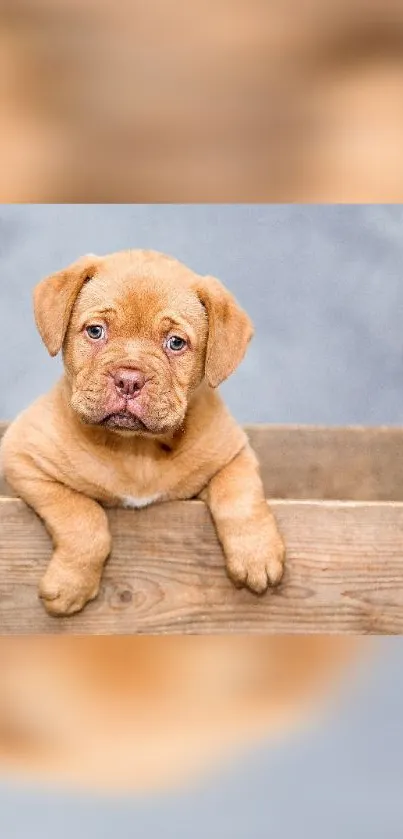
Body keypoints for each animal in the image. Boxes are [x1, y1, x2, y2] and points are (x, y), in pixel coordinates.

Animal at [0, 249, 284, 616]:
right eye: (95, 331)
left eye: (176, 342)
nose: (129, 380)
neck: (136, 449)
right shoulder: (23, 456)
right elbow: (83, 517)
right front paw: (71, 585)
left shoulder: (233, 453)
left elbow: (239, 495)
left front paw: (255, 556)